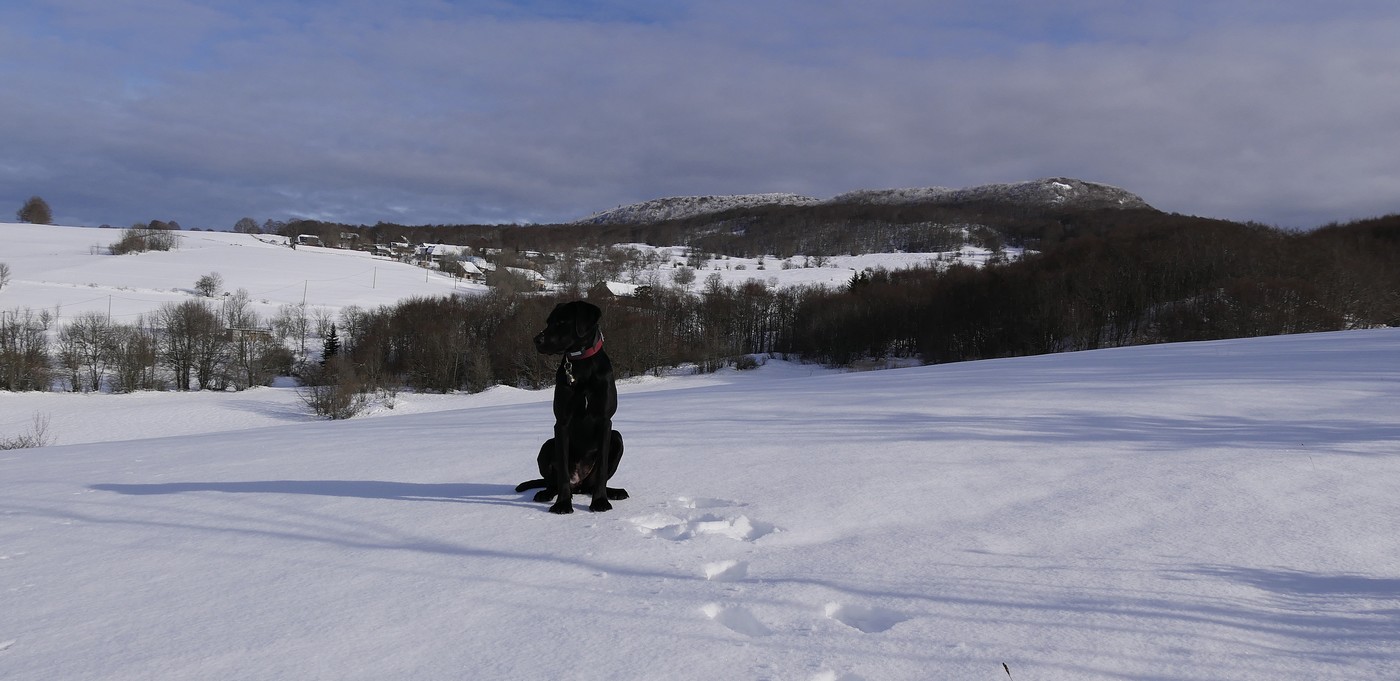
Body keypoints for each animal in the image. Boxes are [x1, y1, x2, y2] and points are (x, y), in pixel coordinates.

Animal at [515, 301, 630, 512]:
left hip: (617, 438)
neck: (582, 363)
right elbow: (562, 472)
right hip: (547, 445)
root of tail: (579, 485)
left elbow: (602, 470)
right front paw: (562, 504)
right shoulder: (562, 422)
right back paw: (546, 493)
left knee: (592, 484)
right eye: (548, 321)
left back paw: (613, 492)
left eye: (562, 322)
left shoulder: (605, 421)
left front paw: (600, 501)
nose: (536, 340)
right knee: (553, 482)